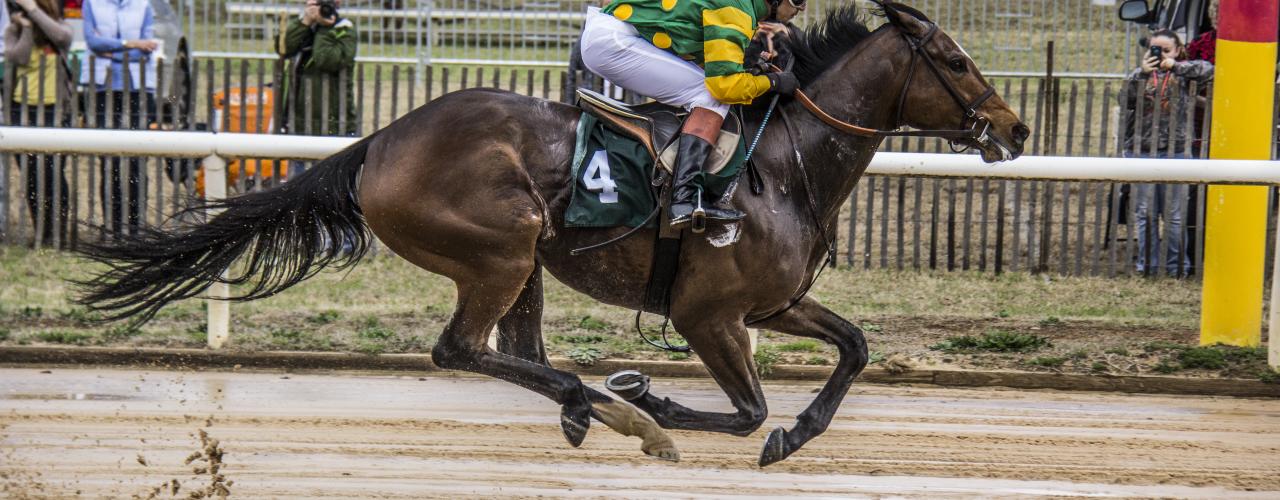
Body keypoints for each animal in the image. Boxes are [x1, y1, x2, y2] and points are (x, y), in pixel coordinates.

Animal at [74, 1, 1029, 468]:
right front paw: (657, 404)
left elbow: (855, 347)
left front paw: (795, 433)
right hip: (500, 243)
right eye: (954, 61)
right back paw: (614, 408)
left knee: (514, 348)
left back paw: (588, 408)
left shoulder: (773, 304)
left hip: (523, 257)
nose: (1013, 128)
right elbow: (748, 409)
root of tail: (380, 140)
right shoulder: (708, 314)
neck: (781, 164)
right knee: (462, 349)